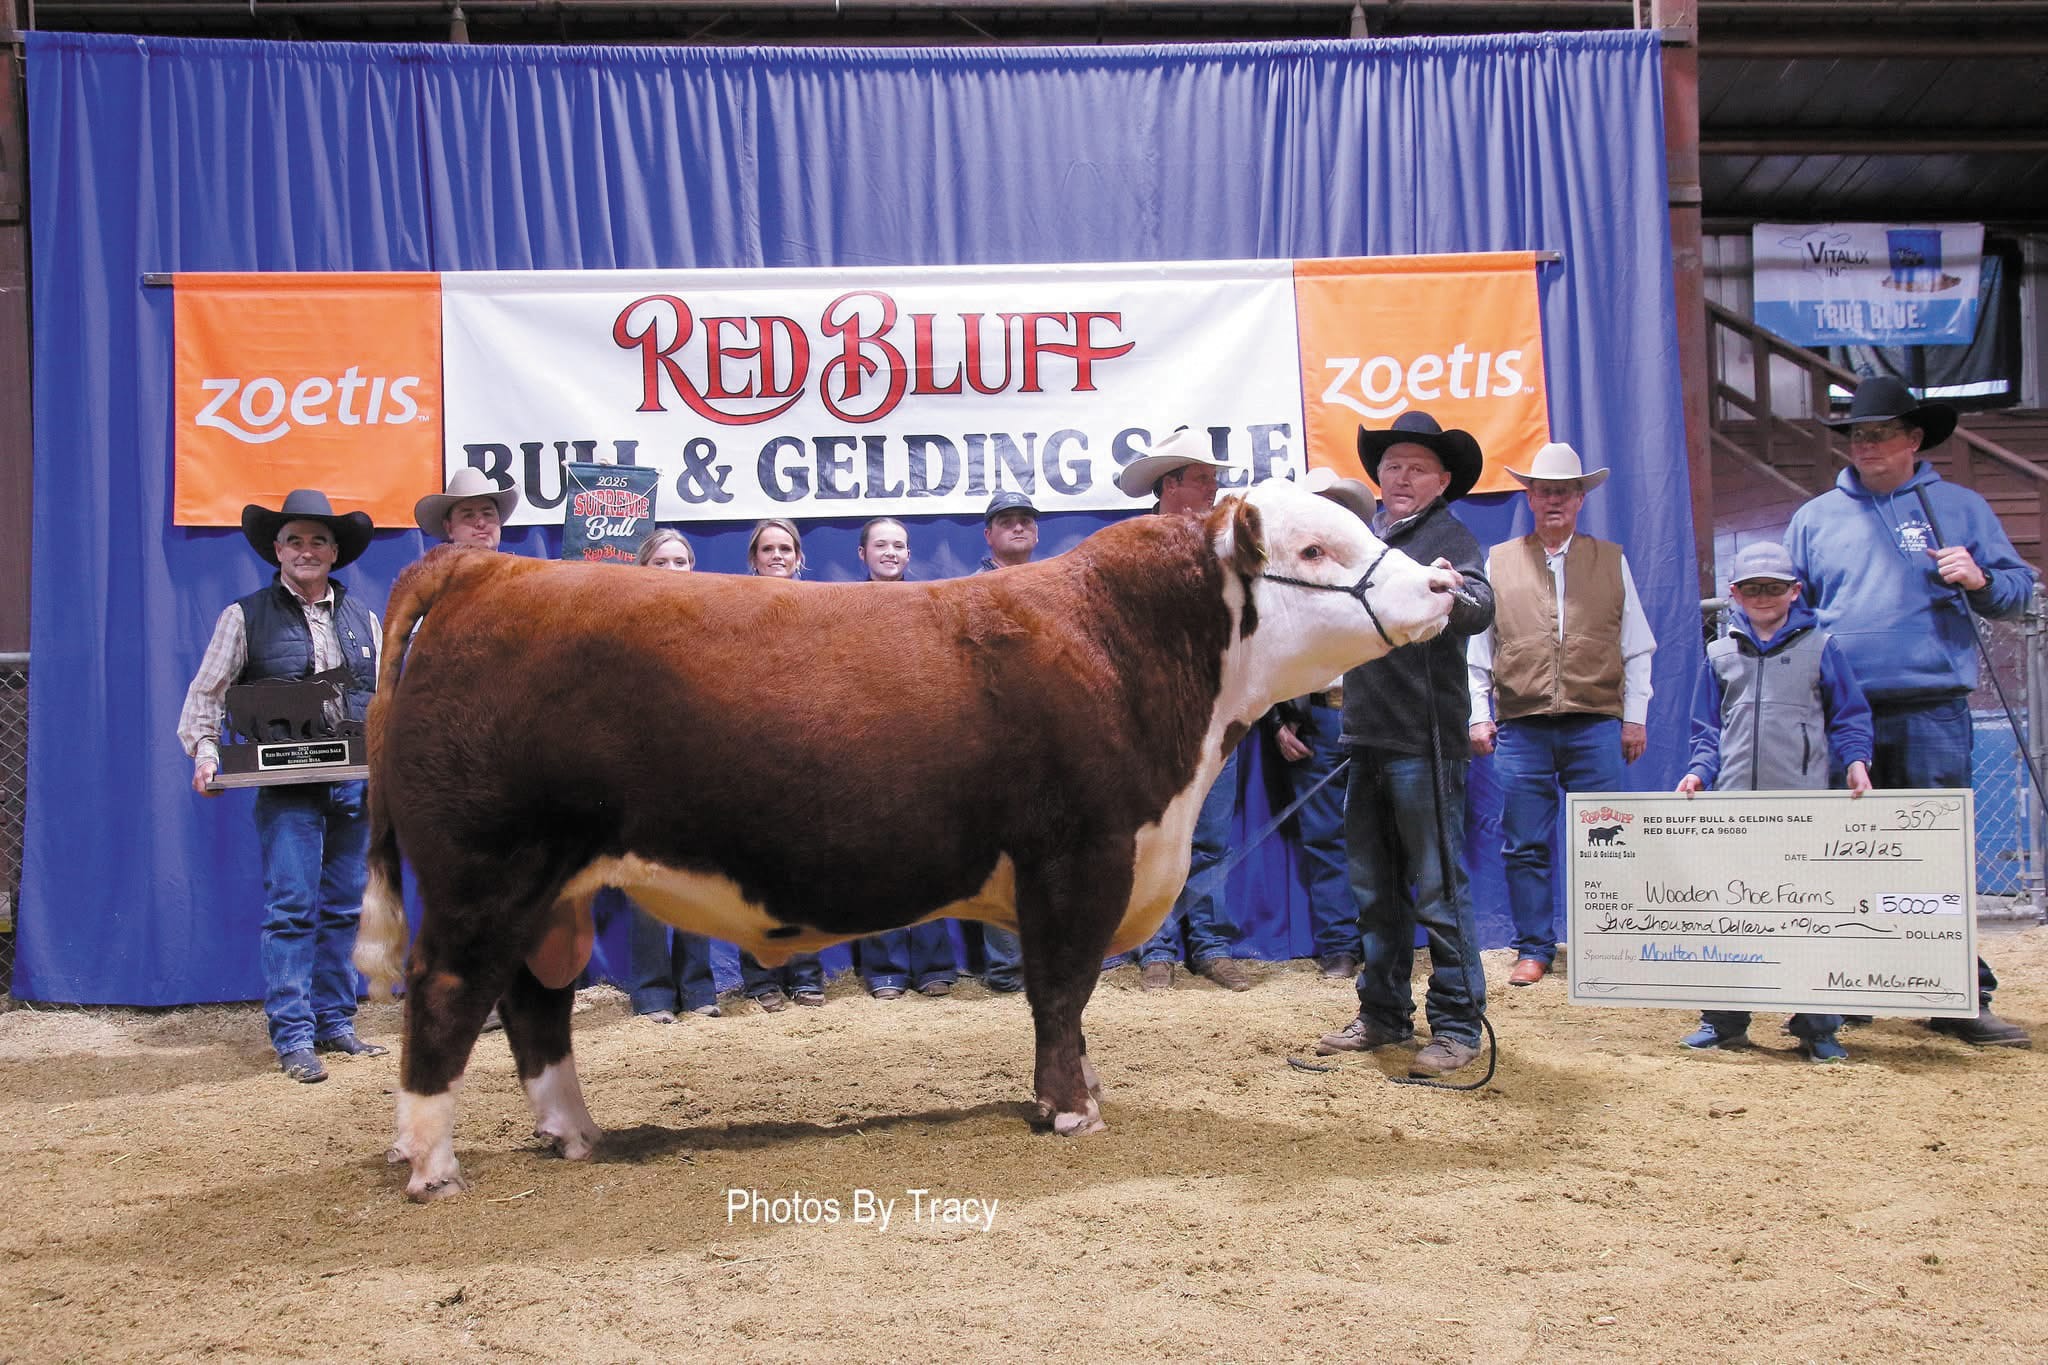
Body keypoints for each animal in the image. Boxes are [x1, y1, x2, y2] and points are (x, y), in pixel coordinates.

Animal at [354, 480, 1464, 1200]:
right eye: (1313, 550)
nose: (1444, 586)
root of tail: (482, 564)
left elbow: (1071, 1002)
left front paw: (1085, 1090)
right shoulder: (1079, 855)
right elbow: (1060, 991)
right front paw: (1070, 1110)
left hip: (554, 886)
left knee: (535, 1003)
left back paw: (577, 1134)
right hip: (486, 870)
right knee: (448, 995)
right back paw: (432, 1166)